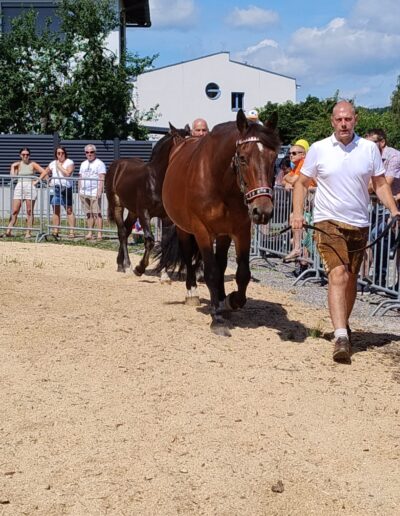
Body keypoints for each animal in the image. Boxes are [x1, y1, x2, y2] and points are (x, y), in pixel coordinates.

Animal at [104, 125, 189, 276]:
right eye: (178, 140)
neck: (156, 179)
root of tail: (117, 165)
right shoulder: (144, 213)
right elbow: (149, 240)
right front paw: (140, 268)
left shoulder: (166, 217)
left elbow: (165, 243)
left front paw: (164, 273)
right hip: (117, 205)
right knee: (122, 232)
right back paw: (127, 265)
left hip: (133, 211)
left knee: (127, 230)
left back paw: (120, 263)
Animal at [158, 109, 280, 336]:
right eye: (243, 158)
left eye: (274, 158)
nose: (262, 211)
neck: (221, 183)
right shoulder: (202, 231)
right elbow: (212, 272)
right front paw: (217, 318)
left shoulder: (241, 230)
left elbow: (242, 273)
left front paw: (232, 300)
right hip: (183, 229)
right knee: (189, 258)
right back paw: (193, 293)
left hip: (223, 234)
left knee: (222, 263)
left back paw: (222, 299)